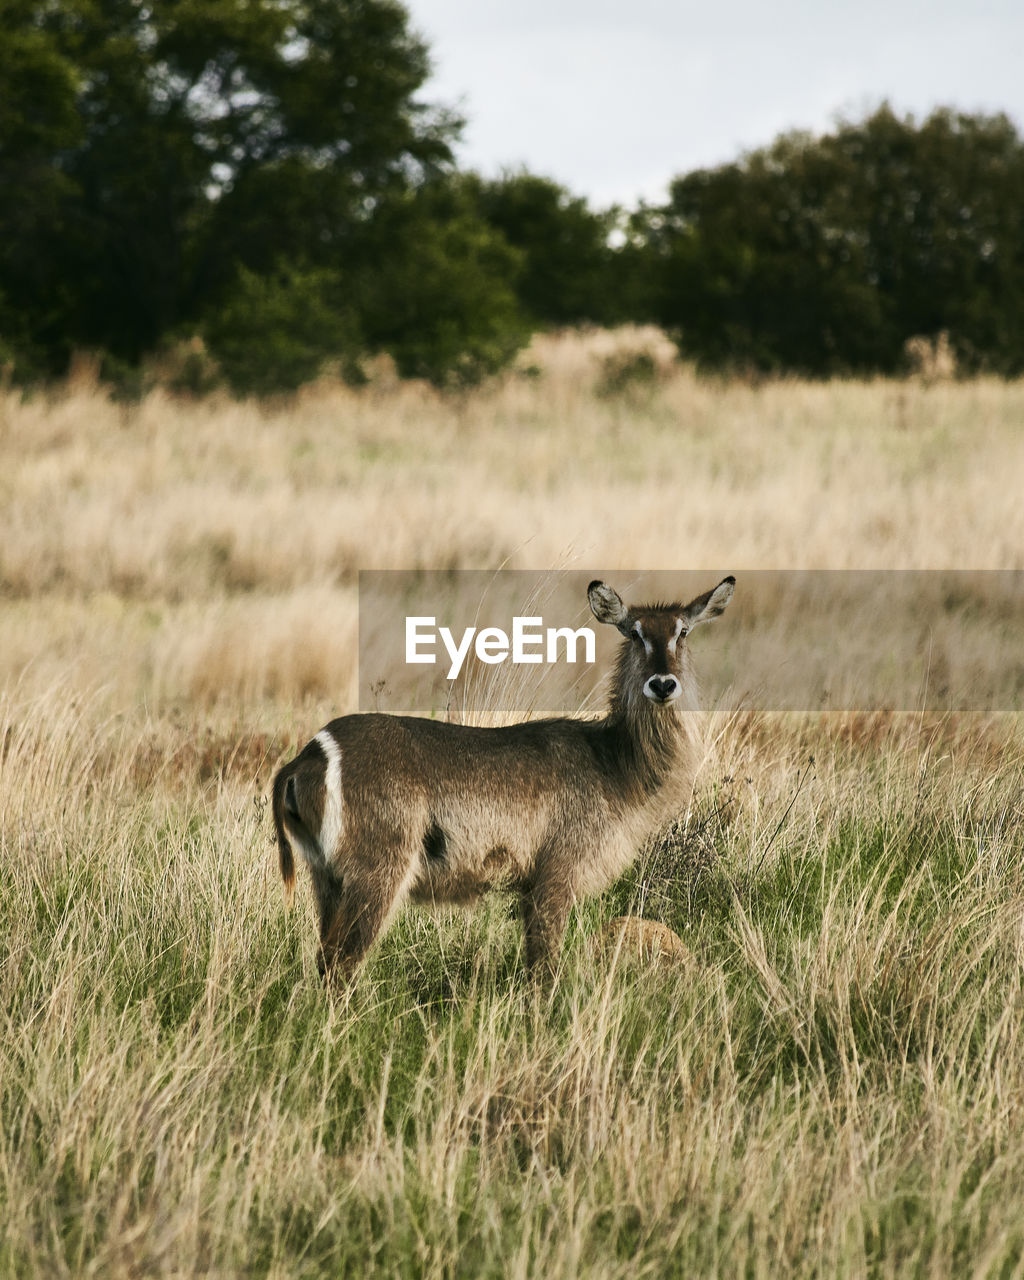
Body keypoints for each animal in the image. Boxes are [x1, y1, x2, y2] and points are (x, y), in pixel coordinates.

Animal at [273, 578, 737, 977]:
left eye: (682, 632)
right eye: (635, 633)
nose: (662, 684)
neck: (614, 762)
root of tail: (308, 755)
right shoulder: (555, 875)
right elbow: (543, 970)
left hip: (326, 877)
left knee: (323, 960)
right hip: (378, 871)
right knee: (339, 966)